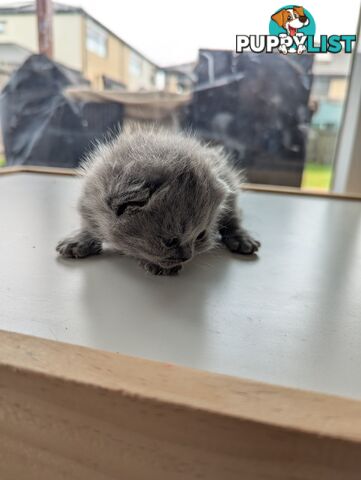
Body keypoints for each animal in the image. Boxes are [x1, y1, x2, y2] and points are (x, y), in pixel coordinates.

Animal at [55, 125, 258, 276]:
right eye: (169, 242)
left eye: (200, 236)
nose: (188, 256)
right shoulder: (88, 199)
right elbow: (88, 224)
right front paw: (79, 239)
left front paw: (158, 265)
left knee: (233, 218)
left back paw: (241, 238)